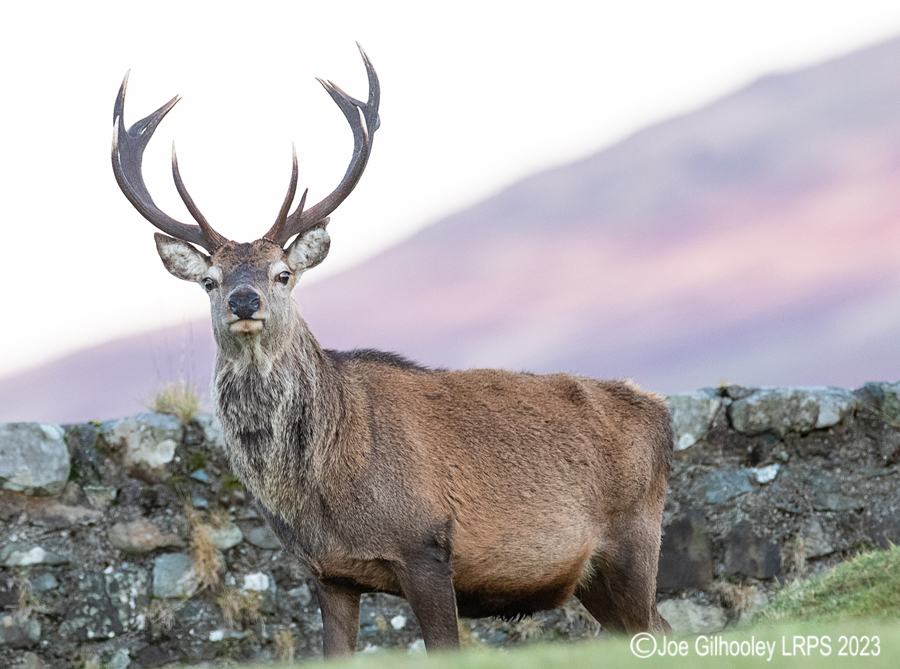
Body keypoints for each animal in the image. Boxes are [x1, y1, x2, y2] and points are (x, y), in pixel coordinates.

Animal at [111, 45, 673, 657]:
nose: (243, 300)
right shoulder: (328, 573)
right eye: (209, 281)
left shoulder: (425, 545)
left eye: (282, 273)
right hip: (596, 577)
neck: (321, 492)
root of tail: (661, 415)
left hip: (634, 538)